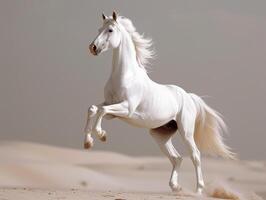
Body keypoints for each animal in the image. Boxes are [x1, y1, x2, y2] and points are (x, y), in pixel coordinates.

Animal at [84, 11, 234, 194]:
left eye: (110, 30)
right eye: (99, 29)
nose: (93, 48)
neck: (125, 76)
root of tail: (188, 96)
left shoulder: (127, 109)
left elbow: (102, 111)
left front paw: (101, 135)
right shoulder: (111, 107)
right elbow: (94, 109)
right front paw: (88, 142)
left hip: (186, 131)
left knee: (195, 156)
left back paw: (198, 190)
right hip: (160, 135)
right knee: (177, 158)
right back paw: (175, 186)